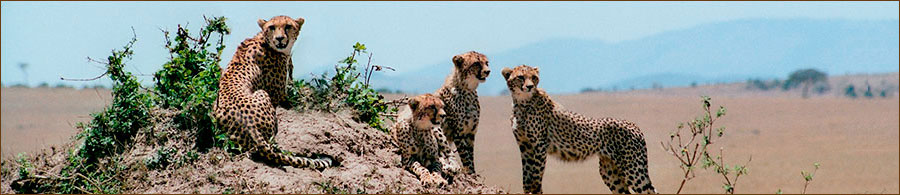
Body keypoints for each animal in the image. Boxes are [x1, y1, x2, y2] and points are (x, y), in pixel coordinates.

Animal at [214, 15, 334, 169]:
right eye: (272, 27)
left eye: (288, 26)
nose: (279, 38)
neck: (265, 40)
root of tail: (250, 127)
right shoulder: (279, 96)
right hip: (262, 93)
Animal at [500, 64, 652, 193]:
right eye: (520, 77)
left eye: (534, 77)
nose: (530, 86)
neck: (521, 103)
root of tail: (635, 125)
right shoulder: (525, 146)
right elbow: (527, 178)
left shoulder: (539, 145)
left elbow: (535, 177)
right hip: (610, 172)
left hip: (633, 169)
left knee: (649, 190)